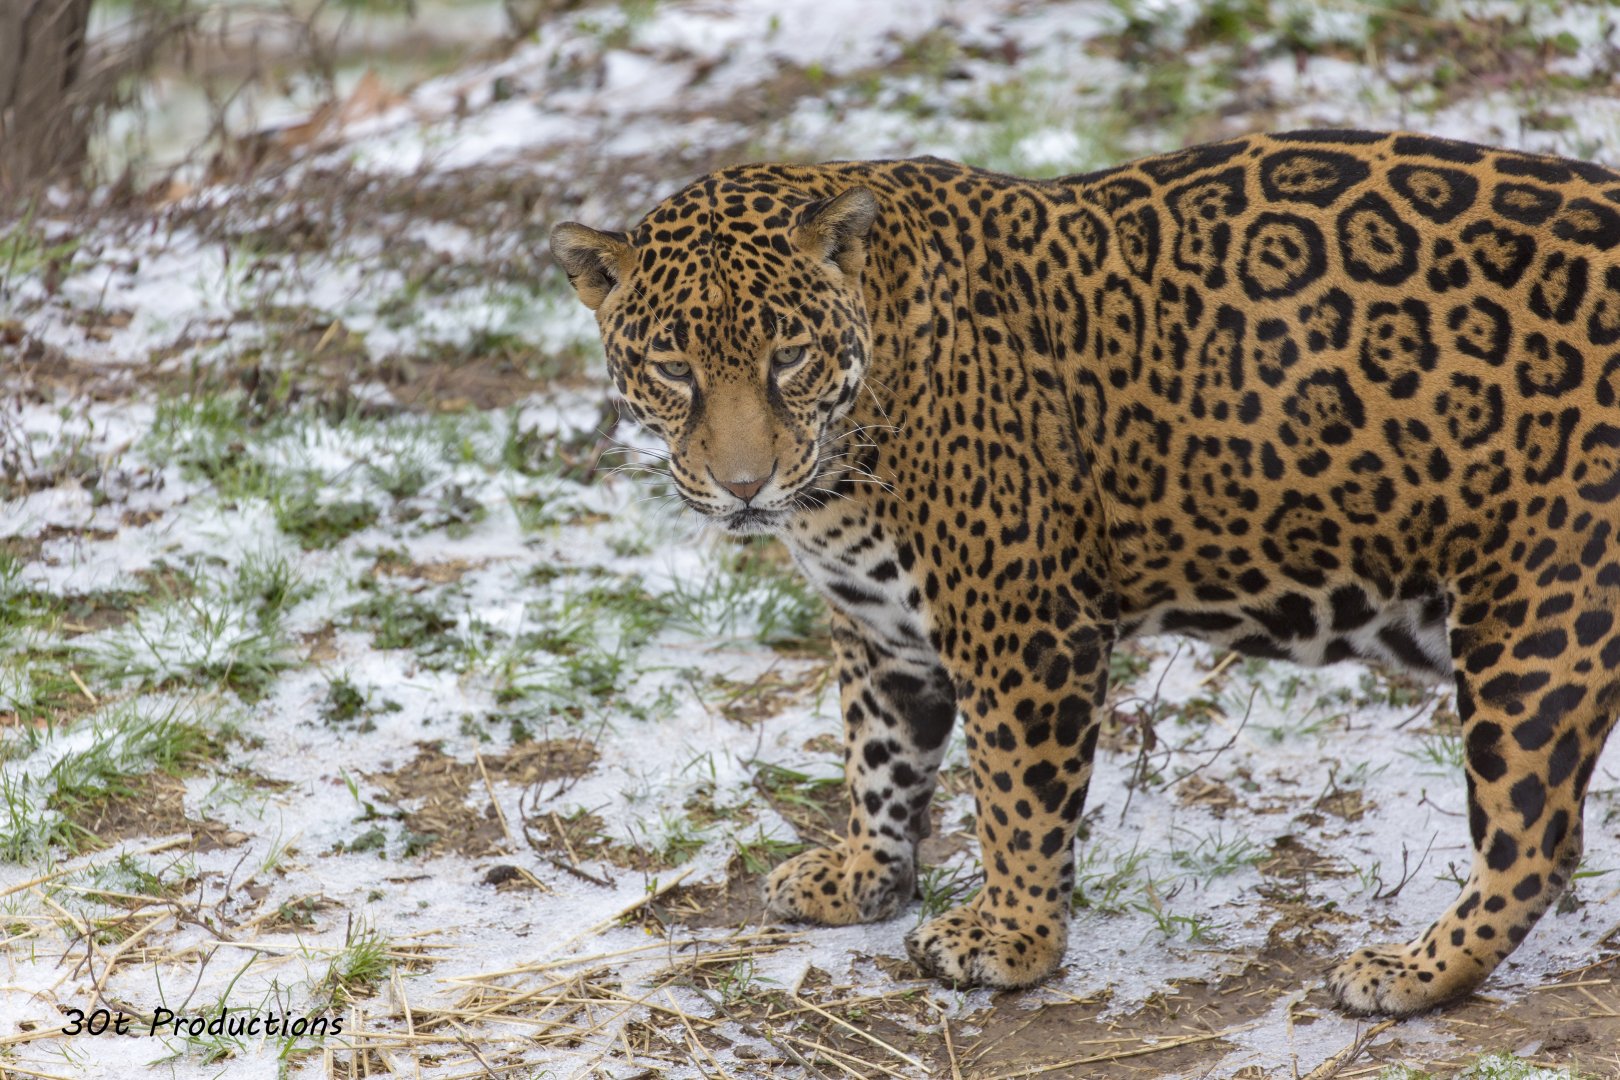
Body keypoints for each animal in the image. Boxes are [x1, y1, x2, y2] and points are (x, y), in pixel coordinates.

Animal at [551, 130, 1620, 1017]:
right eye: (673, 369)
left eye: (790, 357)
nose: (745, 486)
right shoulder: (879, 629)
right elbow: (879, 760)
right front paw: (864, 877)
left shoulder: (1024, 626)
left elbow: (1016, 800)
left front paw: (1011, 939)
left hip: (1537, 625)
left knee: (1534, 844)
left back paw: (1408, 973)